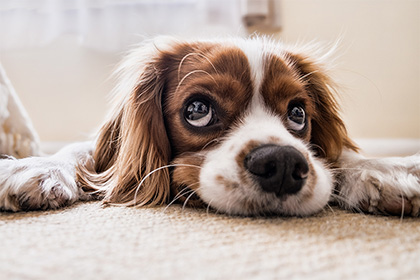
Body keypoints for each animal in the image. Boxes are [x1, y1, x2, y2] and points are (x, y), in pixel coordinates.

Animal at [0, 36, 420, 217]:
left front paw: (386, 170)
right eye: (198, 110)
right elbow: (81, 152)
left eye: (299, 114)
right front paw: (34, 167)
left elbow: (340, 156)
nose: (283, 164)